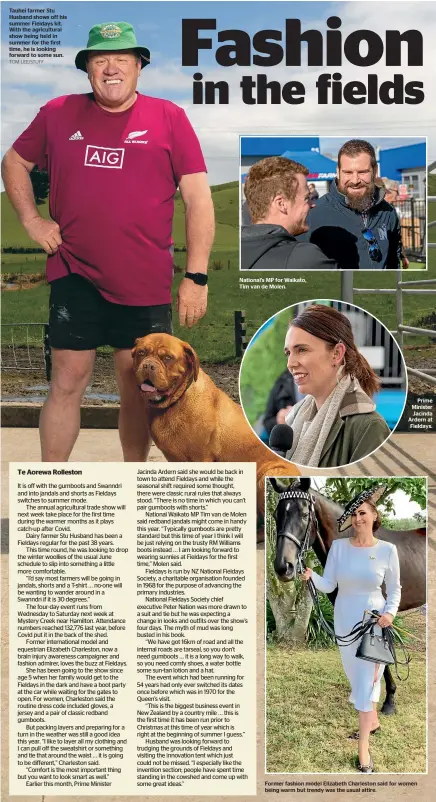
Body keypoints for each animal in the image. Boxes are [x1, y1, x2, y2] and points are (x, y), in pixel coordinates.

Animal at [131, 332, 298, 532]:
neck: (175, 403)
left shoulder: (201, 460)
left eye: (167, 358)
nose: (148, 365)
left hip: (266, 475)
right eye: (141, 352)